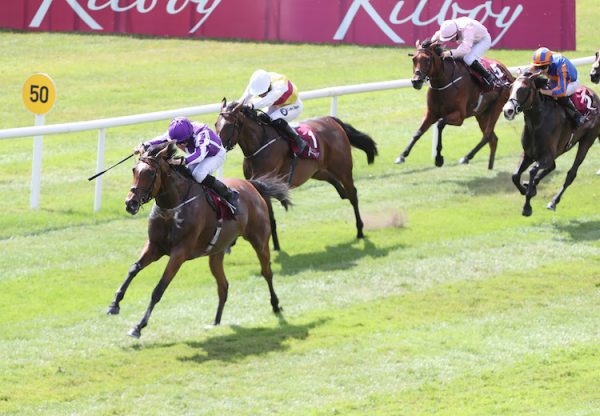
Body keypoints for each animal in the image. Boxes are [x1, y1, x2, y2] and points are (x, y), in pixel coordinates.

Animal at [106, 143, 292, 338]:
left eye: (150, 173)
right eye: (134, 170)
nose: (130, 203)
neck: (173, 207)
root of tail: (251, 185)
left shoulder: (179, 253)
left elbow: (159, 288)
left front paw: (138, 326)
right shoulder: (155, 246)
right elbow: (134, 268)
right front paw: (114, 304)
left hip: (259, 240)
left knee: (267, 272)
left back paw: (276, 305)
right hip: (217, 252)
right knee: (223, 286)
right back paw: (216, 322)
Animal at [213, 100, 378, 250]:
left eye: (229, 125)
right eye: (216, 124)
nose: (217, 145)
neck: (260, 144)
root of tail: (332, 120)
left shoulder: (266, 183)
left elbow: (269, 216)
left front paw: (275, 245)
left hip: (342, 168)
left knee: (353, 194)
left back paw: (360, 230)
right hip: (317, 170)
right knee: (338, 186)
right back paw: (342, 195)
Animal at [396, 38, 512, 169]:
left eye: (427, 59)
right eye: (414, 59)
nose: (416, 81)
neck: (443, 83)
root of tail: (507, 72)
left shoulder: (459, 116)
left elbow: (440, 124)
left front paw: (439, 158)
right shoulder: (431, 113)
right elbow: (418, 132)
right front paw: (402, 155)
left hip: (497, 107)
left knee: (487, 135)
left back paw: (466, 157)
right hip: (482, 114)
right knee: (493, 139)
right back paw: (488, 165)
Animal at [502, 69, 600, 216]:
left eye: (524, 89)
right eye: (510, 87)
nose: (507, 111)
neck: (537, 123)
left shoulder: (546, 156)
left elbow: (532, 170)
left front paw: (527, 206)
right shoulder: (528, 154)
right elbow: (515, 175)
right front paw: (526, 189)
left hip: (587, 140)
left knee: (571, 174)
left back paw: (553, 202)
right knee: (553, 167)